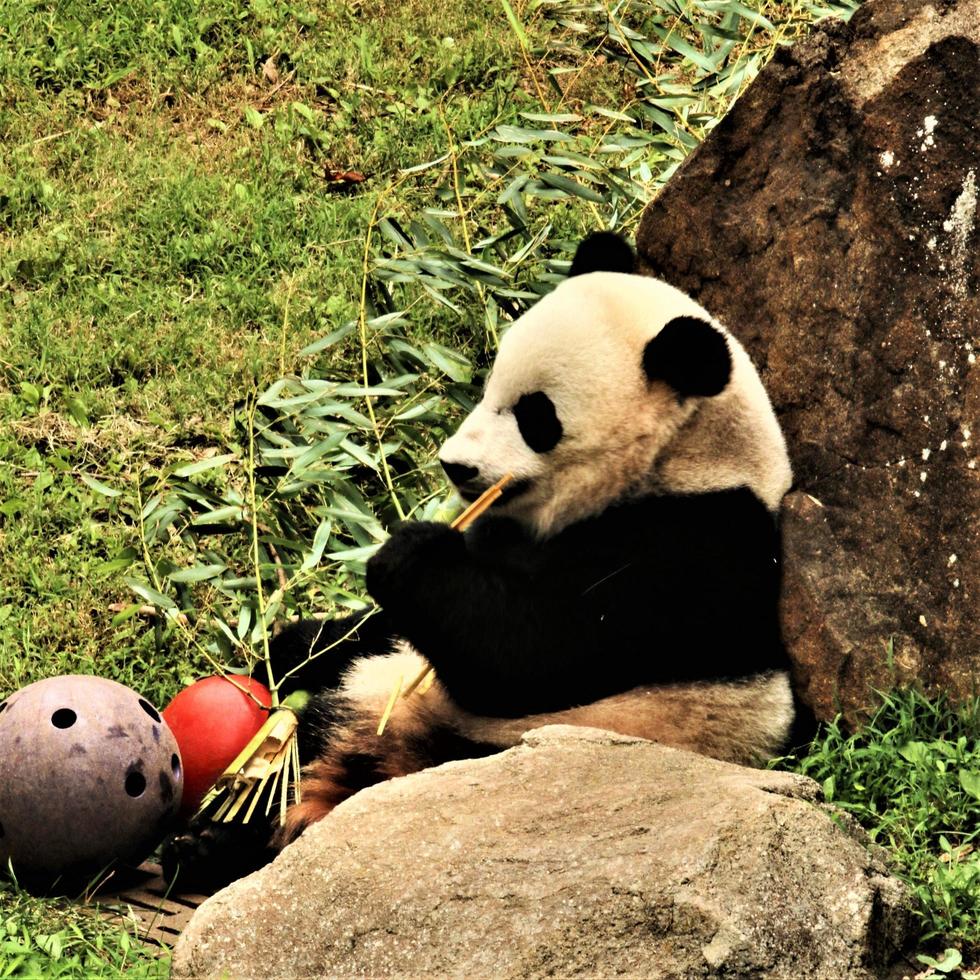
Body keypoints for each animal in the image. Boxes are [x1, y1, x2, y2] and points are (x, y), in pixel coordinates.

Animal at [163, 234, 804, 892]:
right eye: (490, 383)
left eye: (536, 415)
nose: (454, 465)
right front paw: (292, 644)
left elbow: (526, 654)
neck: (686, 459)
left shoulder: (686, 550)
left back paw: (222, 845)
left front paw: (408, 554)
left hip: (505, 751)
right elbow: (406, 621)